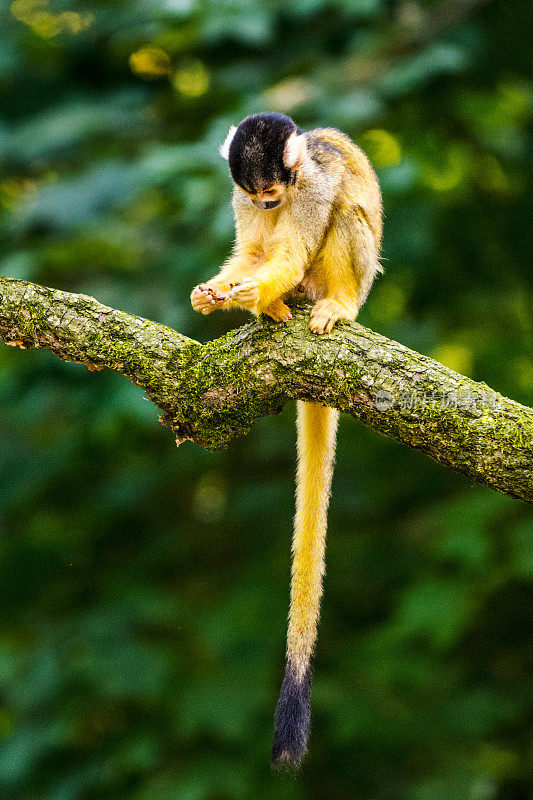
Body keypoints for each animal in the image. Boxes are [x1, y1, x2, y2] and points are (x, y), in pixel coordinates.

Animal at [189, 112, 380, 768]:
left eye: (275, 191)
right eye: (256, 195)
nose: (267, 203)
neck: (291, 183)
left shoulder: (312, 187)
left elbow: (299, 240)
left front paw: (248, 291)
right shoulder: (239, 194)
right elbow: (252, 249)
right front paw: (221, 290)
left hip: (339, 280)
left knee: (343, 217)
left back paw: (325, 304)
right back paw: (272, 308)